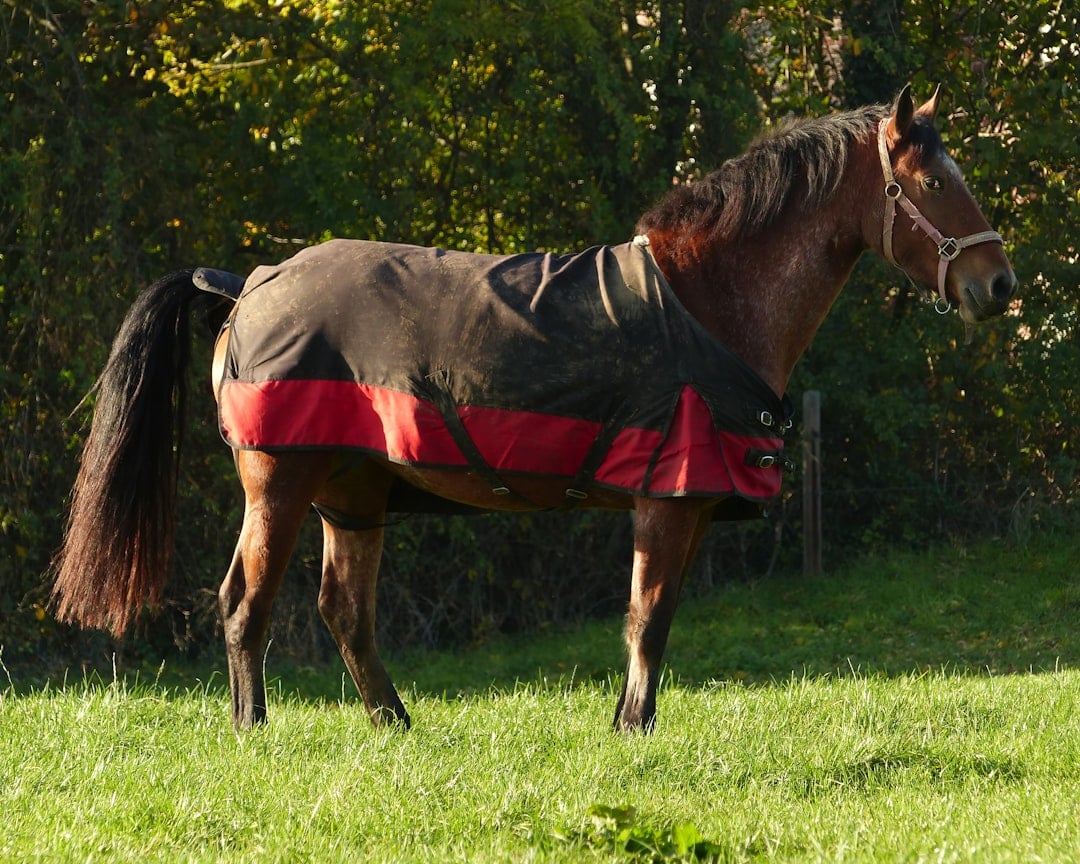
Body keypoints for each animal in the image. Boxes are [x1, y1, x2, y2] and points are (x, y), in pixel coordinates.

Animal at [51, 85, 1016, 732]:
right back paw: (256, 731)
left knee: (345, 612)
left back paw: (395, 726)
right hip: (279, 485)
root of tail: (247, 280)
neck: (708, 301)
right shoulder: (666, 501)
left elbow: (653, 618)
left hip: (352, 497)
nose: (997, 285)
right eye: (934, 185)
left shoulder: (682, 505)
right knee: (244, 604)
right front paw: (632, 734)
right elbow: (649, 618)